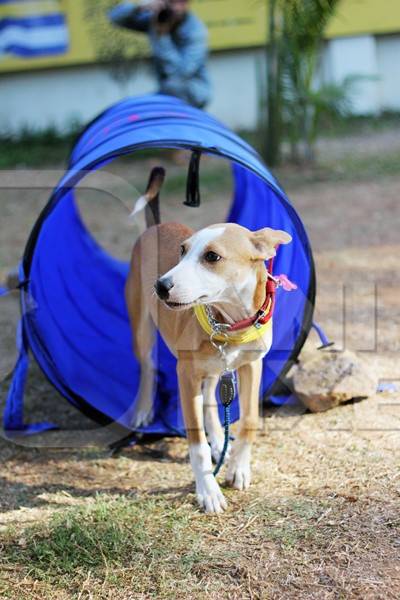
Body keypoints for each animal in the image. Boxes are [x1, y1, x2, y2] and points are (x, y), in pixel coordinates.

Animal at [126, 171, 292, 512]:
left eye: (212, 257)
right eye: (182, 251)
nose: (160, 285)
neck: (230, 322)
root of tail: (153, 226)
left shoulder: (251, 366)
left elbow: (248, 420)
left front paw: (238, 468)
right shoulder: (185, 374)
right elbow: (196, 444)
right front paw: (208, 491)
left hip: (217, 367)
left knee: (212, 398)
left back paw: (218, 439)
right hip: (141, 327)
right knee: (147, 366)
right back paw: (143, 409)